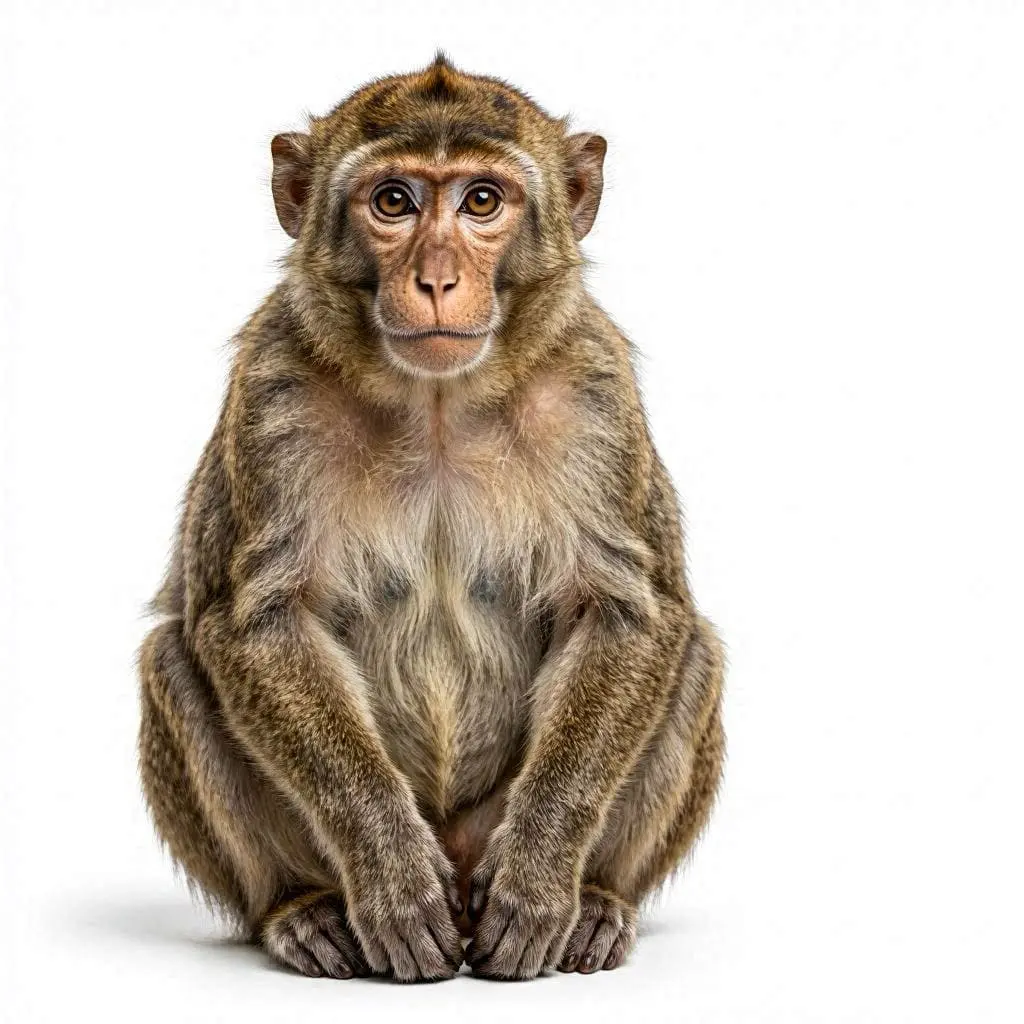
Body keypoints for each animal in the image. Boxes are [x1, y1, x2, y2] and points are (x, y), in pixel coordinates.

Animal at [137, 53, 725, 983]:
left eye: (481, 200)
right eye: (394, 201)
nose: (439, 279)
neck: (441, 402)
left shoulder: (595, 389)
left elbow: (628, 613)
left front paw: (539, 880)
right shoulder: (273, 386)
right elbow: (256, 623)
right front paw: (389, 877)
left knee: (693, 649)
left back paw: (596, 900)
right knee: (173, 659)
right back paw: (302, 907)